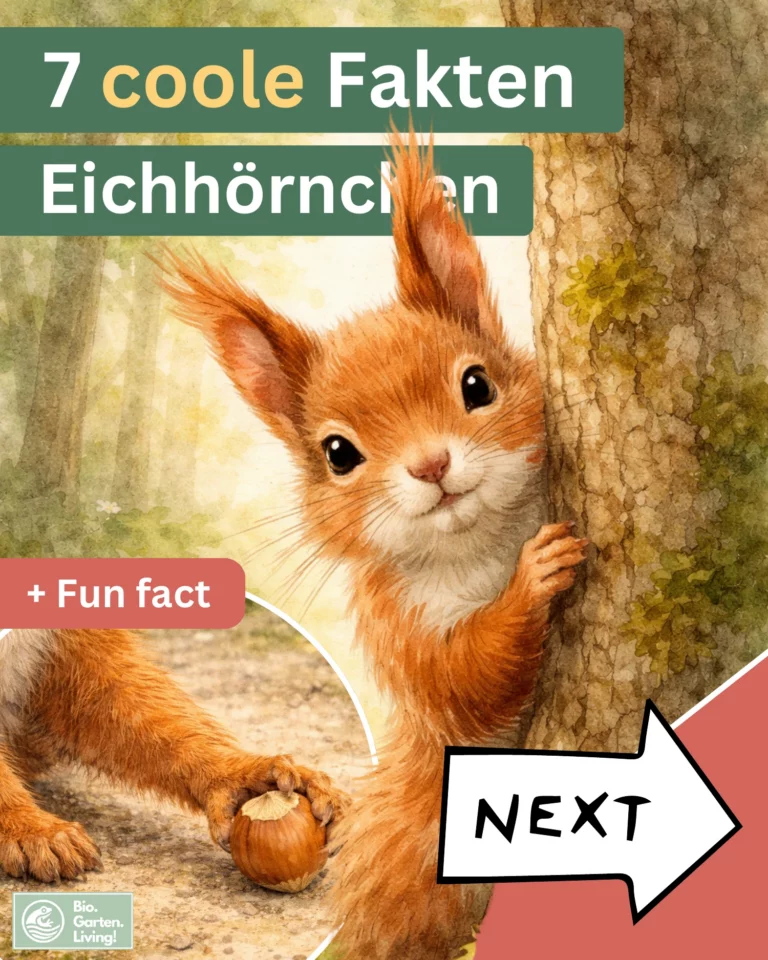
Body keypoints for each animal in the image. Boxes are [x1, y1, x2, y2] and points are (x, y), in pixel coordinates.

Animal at [165, 130, 588, 960]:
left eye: (478, 385)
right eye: (337, 453)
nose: (431, 466)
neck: (477, 545)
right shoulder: (397, 623)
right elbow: (460, 682)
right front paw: (534, 578)